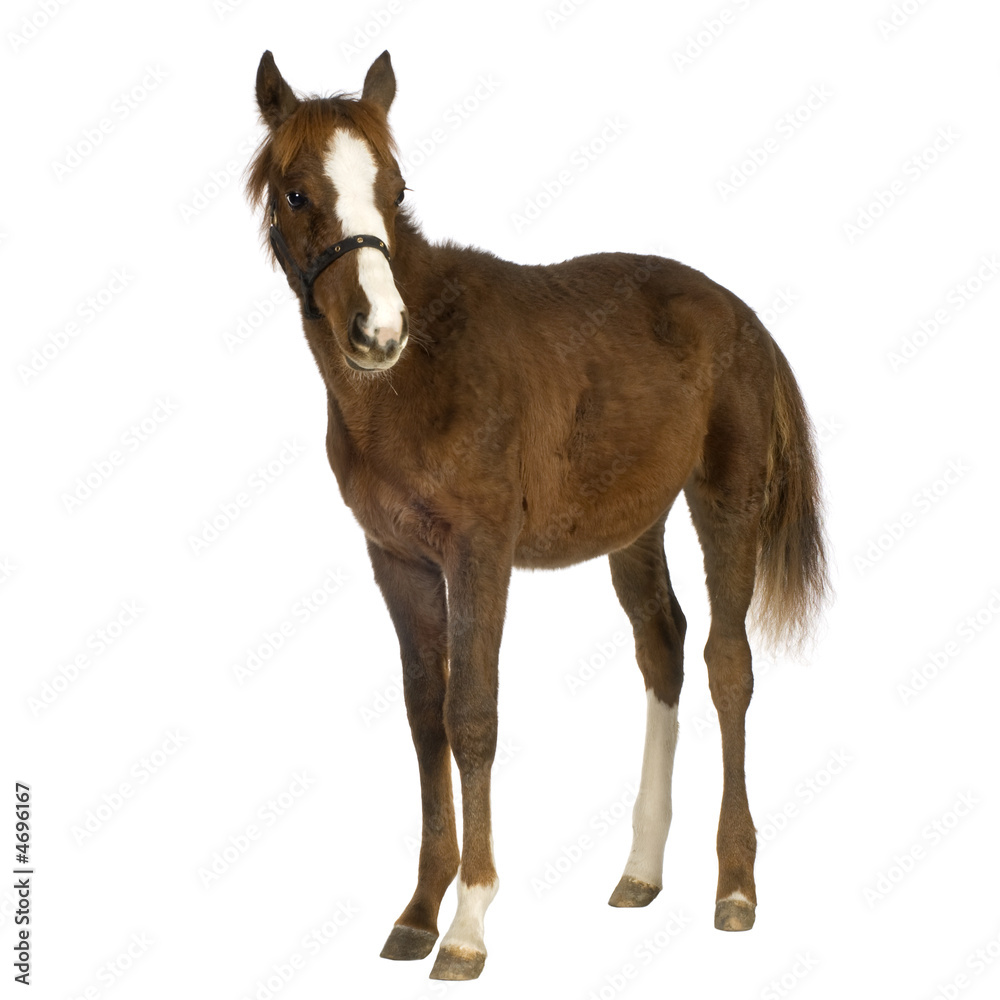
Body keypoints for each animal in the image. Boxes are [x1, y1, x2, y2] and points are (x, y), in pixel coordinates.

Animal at [245, 49, 827, 981]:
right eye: (297, 193)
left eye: (396, 188)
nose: (379, 330)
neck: (416, 373)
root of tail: (743, 315)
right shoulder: (396, 556)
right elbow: (424, 713)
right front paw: (418, 911)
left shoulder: (480, 550)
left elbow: (472, 715)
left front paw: (469, 924)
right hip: (635, 524)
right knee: (661, 645)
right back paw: (640, 870)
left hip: (724, 503)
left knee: (727, 664)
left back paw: (735, 887)